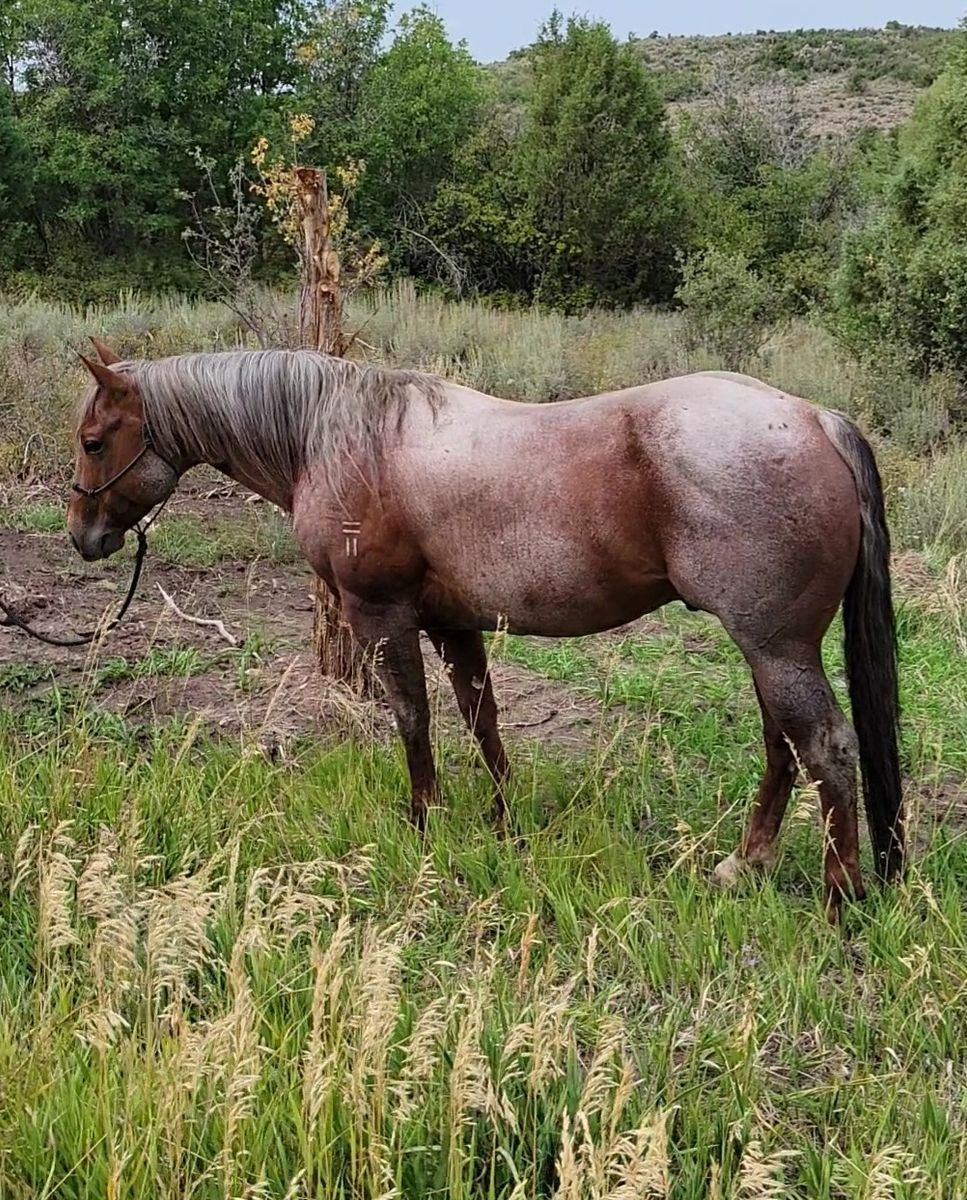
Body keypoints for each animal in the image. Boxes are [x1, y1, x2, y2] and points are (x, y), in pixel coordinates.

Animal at [67, 340, 904, 918]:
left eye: (94, 440)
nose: (82, 536)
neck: (341, 438)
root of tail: (815, 419)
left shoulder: (382, 616)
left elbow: (412, 717)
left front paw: (423, 817)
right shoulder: (453, 624)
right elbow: (481, 719)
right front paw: (503, 821)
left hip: (774, 648)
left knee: (825, 748)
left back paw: (838, 898)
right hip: (766, 650)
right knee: (781, 748)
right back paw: (745, 865)